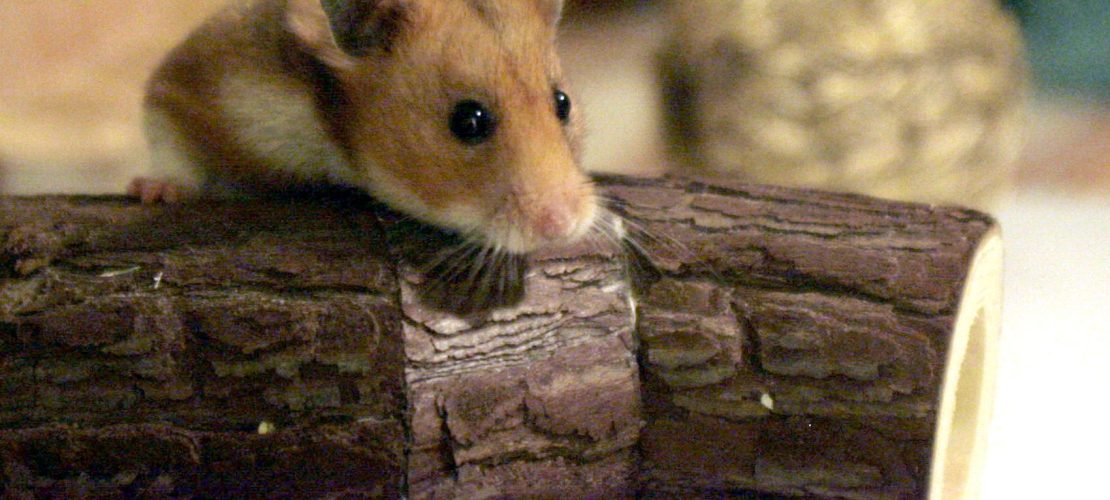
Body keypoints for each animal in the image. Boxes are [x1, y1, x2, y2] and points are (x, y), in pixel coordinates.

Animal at [129, 0, 598, 254]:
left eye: (562, 103)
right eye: (469, 120)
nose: (563, 228)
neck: (331, 135)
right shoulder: (179, 85)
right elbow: (168, 136)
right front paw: (154, 191)